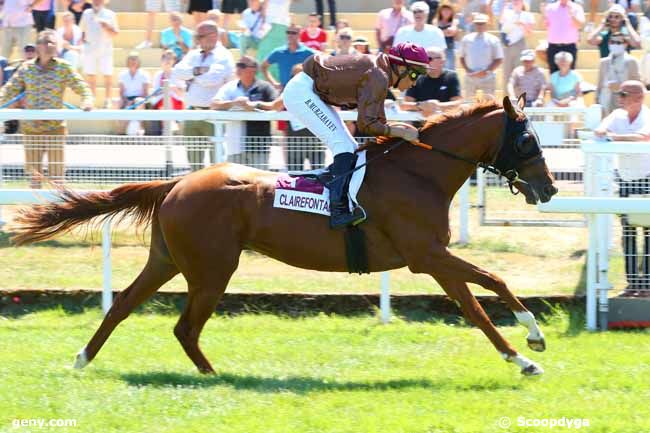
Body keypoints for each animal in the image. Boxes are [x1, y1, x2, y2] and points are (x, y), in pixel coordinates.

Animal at [11, 94, 556, 374]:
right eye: (528, 140)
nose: (549, 187)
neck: (419, 172)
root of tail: (176, 182)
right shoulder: (427, 255)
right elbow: (493, 284)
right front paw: (531, 342)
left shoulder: (434, 257)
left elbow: (474, 306)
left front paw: (519, 353)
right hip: (212, 269)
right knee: (184, 327)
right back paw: (215, 376)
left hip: (167, 259)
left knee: (124, 304)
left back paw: (83, 358)